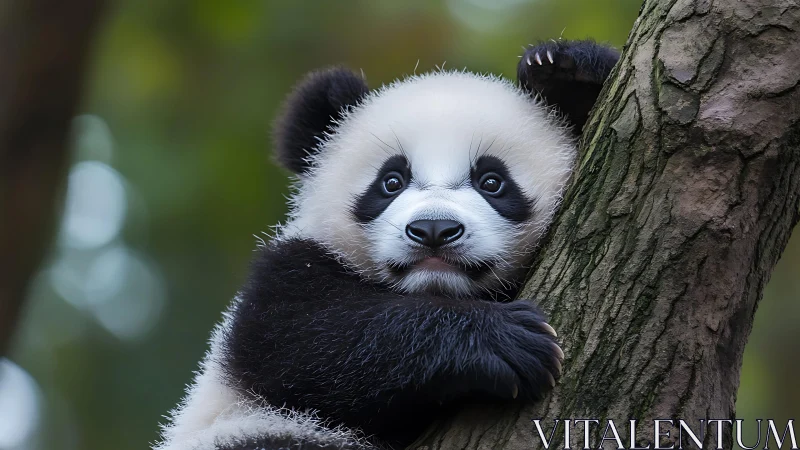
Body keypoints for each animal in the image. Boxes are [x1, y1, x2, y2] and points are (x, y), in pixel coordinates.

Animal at [154, 39, 620, 450]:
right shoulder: (289, 269)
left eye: (492, 182)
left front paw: (565, 70)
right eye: (391, 181)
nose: (434, 229)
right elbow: (305, 340)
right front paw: (503, 340)